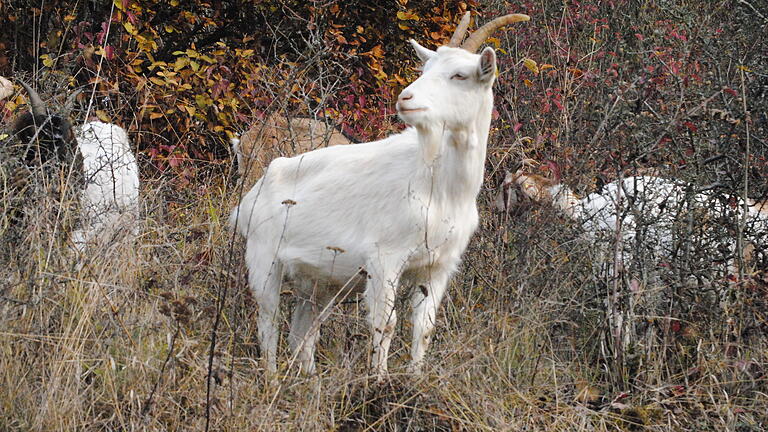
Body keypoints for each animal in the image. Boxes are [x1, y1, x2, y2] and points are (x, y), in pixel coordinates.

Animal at [231, 12, 532, 378]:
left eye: (460, 74)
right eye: (425, 68)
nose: (406, 99)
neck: (440, 187)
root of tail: (256, 189)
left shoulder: (437, 267)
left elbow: (424, 327)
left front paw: (415, 379)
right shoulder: (385, 258)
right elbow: (384, 323)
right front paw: (379, 381)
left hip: (321, 282)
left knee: (303, 329)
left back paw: (309, 380)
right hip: (264, 260)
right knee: (269, 321)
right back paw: (273, 378)